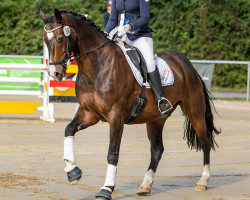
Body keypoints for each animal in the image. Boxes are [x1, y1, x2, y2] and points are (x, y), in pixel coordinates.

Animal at [38, 8, 220, 200]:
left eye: (60, 38)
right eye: (45, 40)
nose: (55, 73)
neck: (97, 66)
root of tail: (187, 64)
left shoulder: (116, 117)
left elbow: (112, 153)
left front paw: (106, 189)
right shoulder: (89, 113)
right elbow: (69, 130)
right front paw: (72, 171)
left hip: (194, 110)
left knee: (205, 141)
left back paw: (203, 181)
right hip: (156, 119)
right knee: (157, 149)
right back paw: (145, 185)